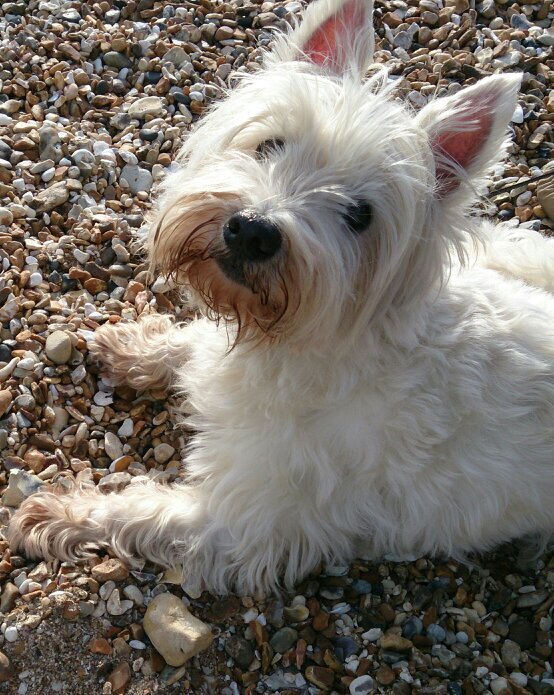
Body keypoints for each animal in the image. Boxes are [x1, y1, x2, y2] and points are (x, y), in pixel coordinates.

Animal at [8, 0, 552, 596]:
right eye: (271, 144)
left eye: (360, 215)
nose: (253, 231)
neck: (293, 347)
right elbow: (192, 341)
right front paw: (132, 347)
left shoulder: (247, 519)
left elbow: (142, 511)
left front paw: (57, 512)